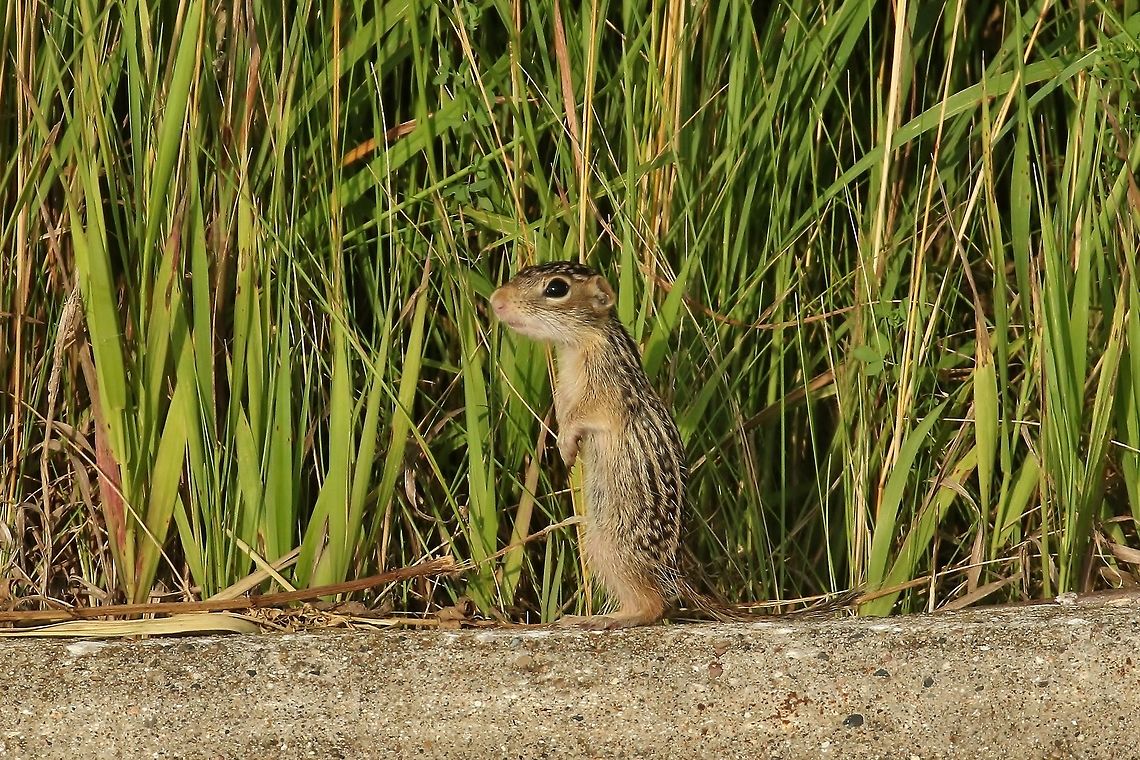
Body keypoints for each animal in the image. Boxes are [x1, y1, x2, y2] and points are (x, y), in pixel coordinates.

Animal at [491, 261, 717, 629]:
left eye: (556, 288)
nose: (497, 301)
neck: (579, 344)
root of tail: (675, 570)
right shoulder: (563, 390)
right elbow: (564, 410)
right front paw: (563, 447)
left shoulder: (606, 393)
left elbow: (584, 414)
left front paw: (567, 446)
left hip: (609, 545)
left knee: (656, 605)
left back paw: (598, 619)